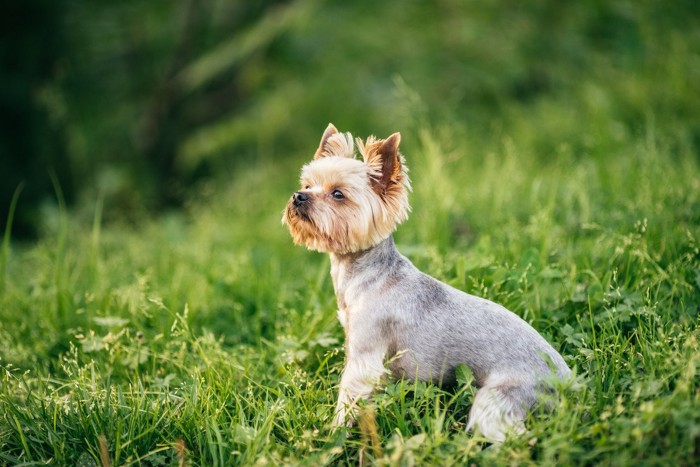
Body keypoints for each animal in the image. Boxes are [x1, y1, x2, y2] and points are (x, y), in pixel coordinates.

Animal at [282, 123, 572, 442]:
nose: (298, 196)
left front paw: (334, 434)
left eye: (337, 194)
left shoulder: (364, 357)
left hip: (497, 399)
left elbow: (349, 398)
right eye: (308, 185)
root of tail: (568, 384)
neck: (371, 275)